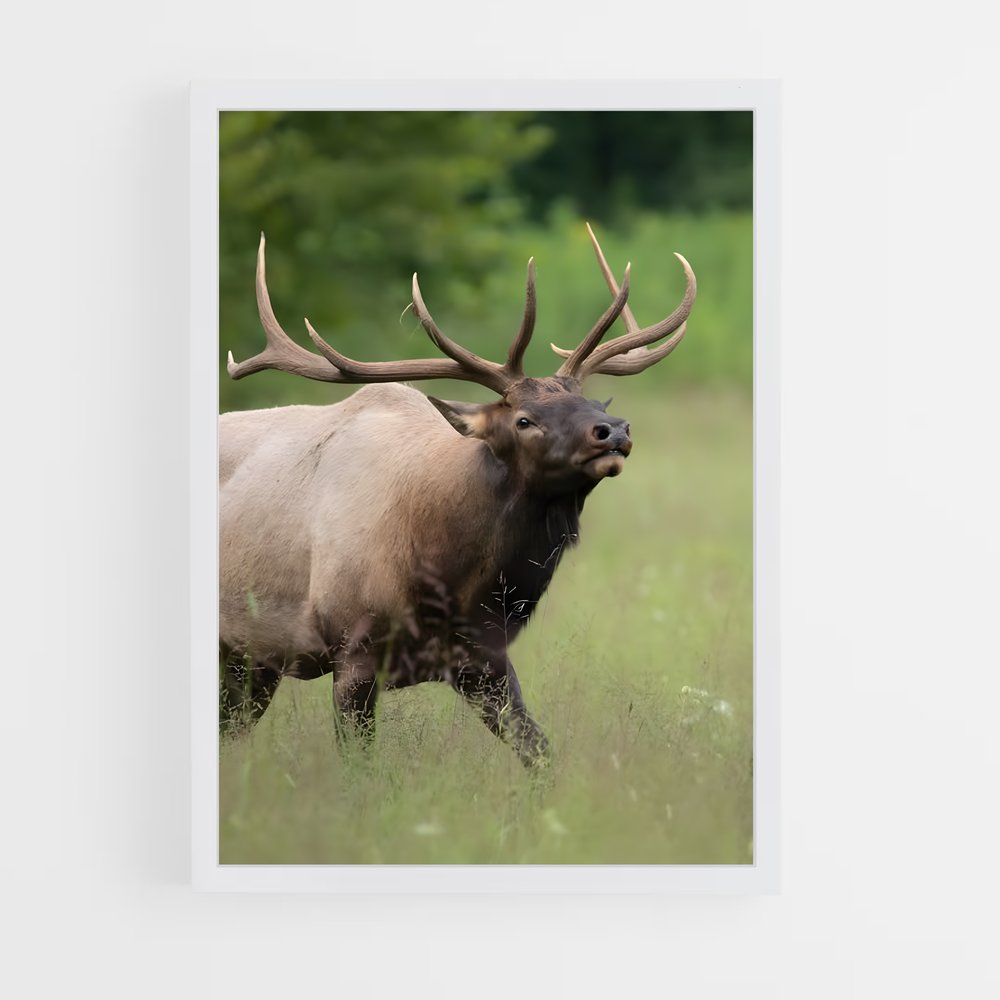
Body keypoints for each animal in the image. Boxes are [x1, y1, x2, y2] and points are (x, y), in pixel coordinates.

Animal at [219, 224, 696, 768]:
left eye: (593, 402)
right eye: (524, 419)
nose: (612, 430)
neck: (448, 576)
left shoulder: (482, 658)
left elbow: (540, 754)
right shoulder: (352, 650)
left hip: (252, 661)